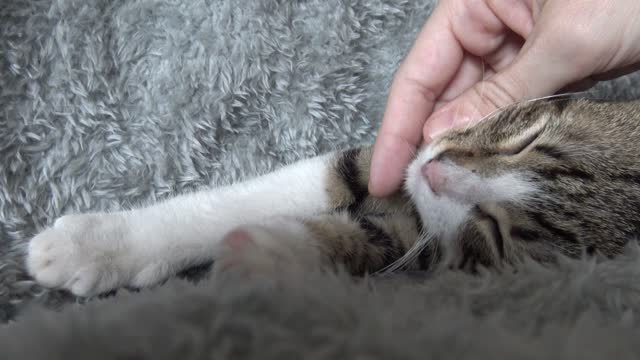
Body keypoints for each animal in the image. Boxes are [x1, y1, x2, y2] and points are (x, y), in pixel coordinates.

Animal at [23, 97, 640, 296]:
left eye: (496, 232)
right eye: (527, 138)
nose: (435, 174)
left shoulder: (426, 241)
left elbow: (364, 241)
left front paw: (266, 255)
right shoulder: (391, 158)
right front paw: (95, 245)